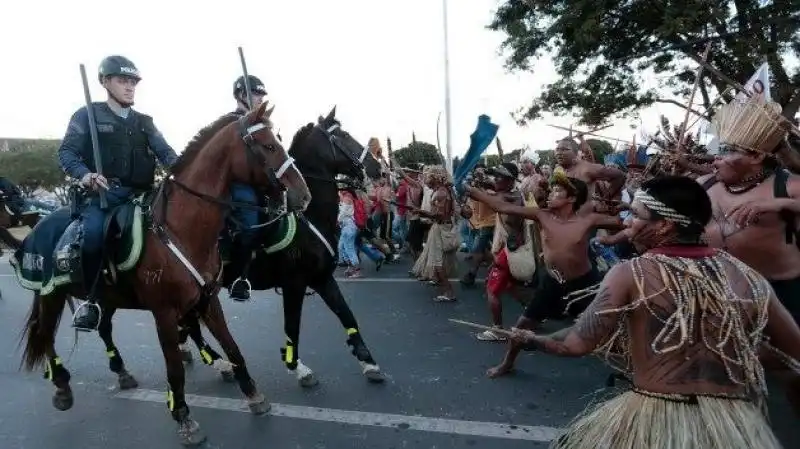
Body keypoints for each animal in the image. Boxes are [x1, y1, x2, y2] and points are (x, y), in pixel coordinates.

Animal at [14, 101, 312, 444]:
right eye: (269, 146)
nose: (303, 195)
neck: (181, 228)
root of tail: (39, 223)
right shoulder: (165, 312)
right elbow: (175, 368)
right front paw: (183, 417)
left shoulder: (208, 300)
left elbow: (232, 345)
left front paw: (253, 394)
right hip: (50, 294)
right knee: (46, 334)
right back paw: (62, 385)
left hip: (105, 296)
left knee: (103, 328)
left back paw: (121, 371)